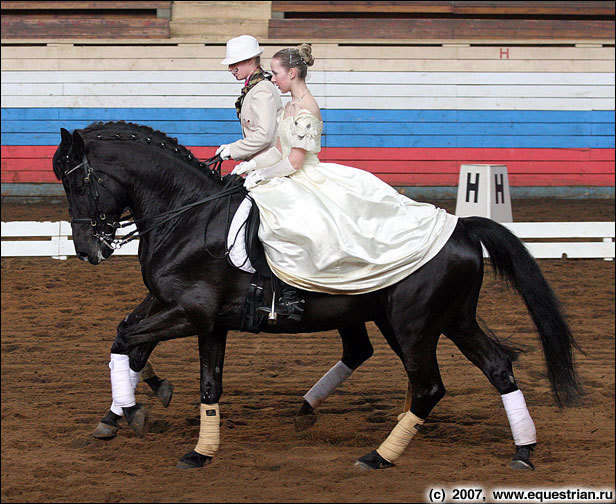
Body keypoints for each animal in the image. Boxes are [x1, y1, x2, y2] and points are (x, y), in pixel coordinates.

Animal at [53, 122, 584, 472]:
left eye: (78, 181)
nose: (87, 250)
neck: (186, 214)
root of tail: (460, 226)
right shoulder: (198, 317)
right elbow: (171, 363)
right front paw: (175, 431)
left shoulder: (189, 312)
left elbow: (130, 339)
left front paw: (134, 412)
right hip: (447, 320)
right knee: (495, 367)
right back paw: (522, 450)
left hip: (414, 326)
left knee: (429, 385)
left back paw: (379, 456)